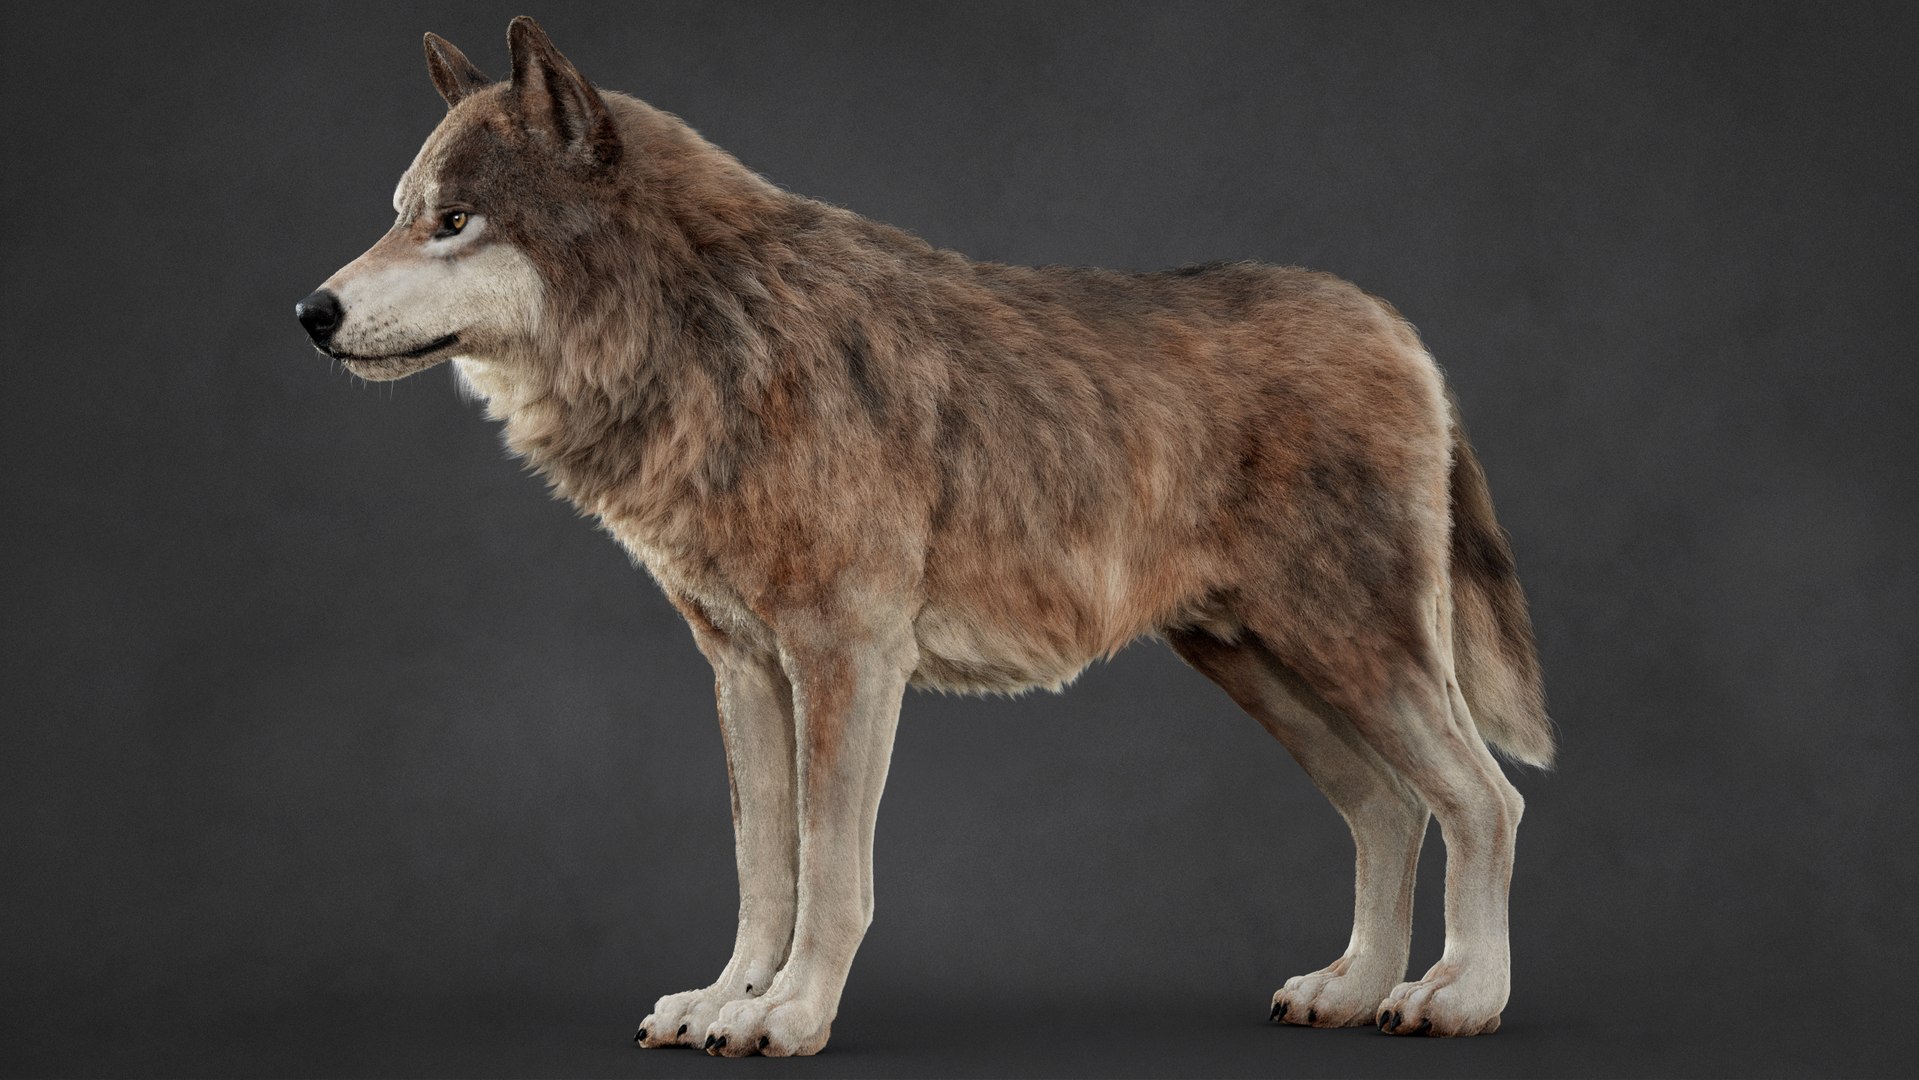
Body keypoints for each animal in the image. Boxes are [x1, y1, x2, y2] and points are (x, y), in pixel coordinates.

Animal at [296, 16, 1551, 1056]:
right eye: (399, 212)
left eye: (453, 223)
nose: (311, 311)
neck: (711, 341)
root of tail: (1396, 329)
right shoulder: (744, 666)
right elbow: (763, 870)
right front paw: (724, 1001)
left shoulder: (847, 658)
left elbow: (829, 874)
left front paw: (791, 1016)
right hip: (1261, 667)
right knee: (1391, 811)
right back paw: (1349, 990)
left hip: (1355, 656)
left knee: (1485, 802)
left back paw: (1459, 999)